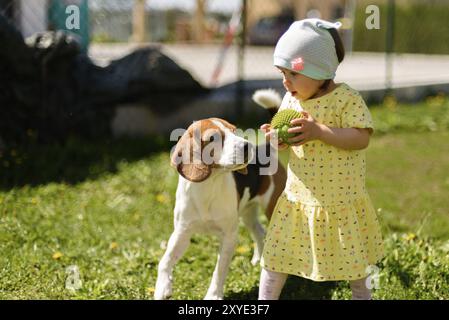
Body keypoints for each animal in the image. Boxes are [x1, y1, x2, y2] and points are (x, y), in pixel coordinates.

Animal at [154, 117, 286, 300]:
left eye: (234, 131)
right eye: (213, 138)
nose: (247, 146)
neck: (209, 185)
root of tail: (265, 149)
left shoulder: (229, 236)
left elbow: (219, 271)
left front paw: (213, 295)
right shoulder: (182, 232)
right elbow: (165, 260)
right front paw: (162, 287)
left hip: (272, 208)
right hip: (248, 213)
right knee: (259, 232)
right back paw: (258, 259)